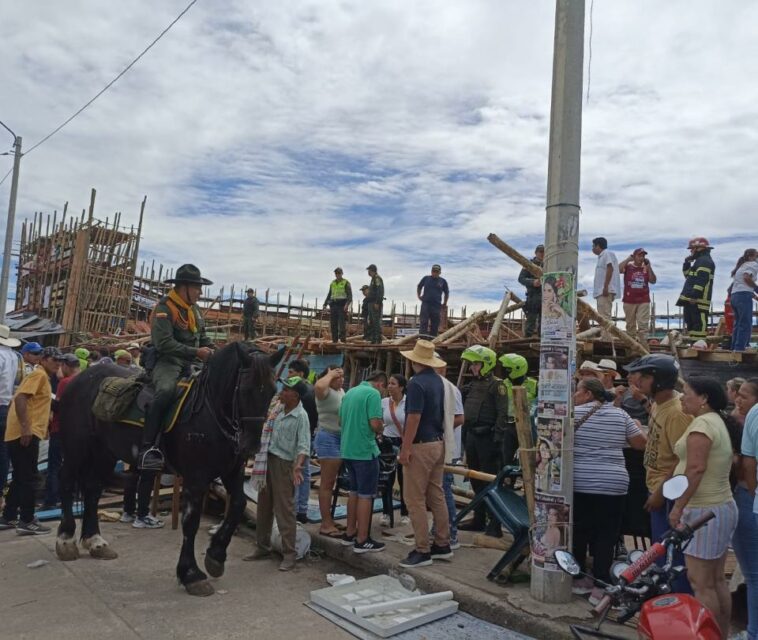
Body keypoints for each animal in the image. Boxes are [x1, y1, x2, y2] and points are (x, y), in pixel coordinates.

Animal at [55, 342, 284, 596]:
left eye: (272, 391)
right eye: (244, 389)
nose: (250, 446)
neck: (210, 411)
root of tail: (79, 379)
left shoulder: (231, 471)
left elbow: (238, 505)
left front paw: (215, 556)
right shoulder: (196, 477)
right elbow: (191, 522)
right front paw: (191, 573)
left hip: (104, 452)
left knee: (93, 489)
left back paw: (95, 540)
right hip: (76, 448)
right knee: (66, 483)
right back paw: (65, 540)